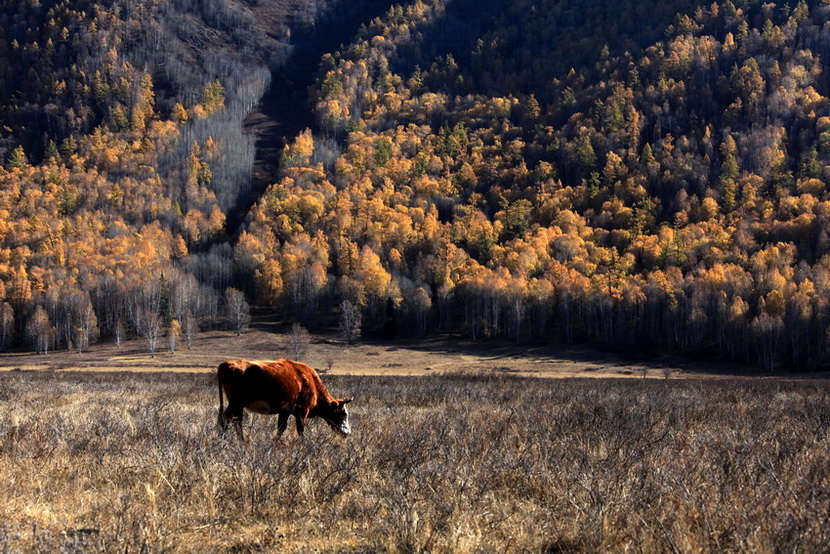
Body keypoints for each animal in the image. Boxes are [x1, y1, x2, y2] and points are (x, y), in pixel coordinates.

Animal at [216, 358, 352, 440]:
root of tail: (225, 364)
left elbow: (281, 428)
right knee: (228, 419)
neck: (310, 381)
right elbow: (300, 430)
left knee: (234, 420)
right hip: (235, 402)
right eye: (343, 414)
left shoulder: (285, 411)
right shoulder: (302, 411)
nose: (348, 433)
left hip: (237, 405)